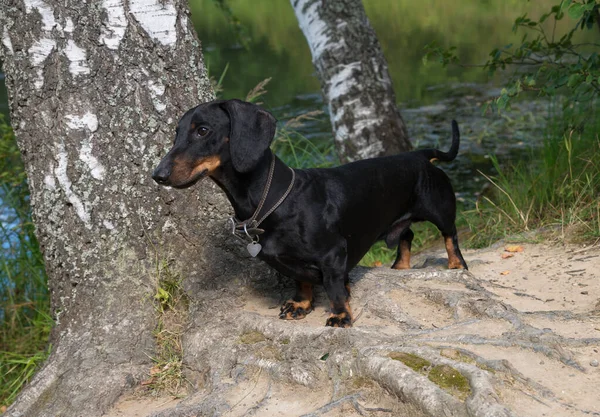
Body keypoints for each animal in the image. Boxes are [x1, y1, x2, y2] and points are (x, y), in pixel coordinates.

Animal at [151, 99, 468, 326]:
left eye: (202, 130)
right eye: (177, 133)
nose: (158, 175)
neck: (275, 199)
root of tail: (418, 155)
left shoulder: (333, 254)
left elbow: (335, 287)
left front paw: (340, 315)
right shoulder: (291, 263)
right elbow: (301, 282)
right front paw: (301, 305)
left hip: (439, 209)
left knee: (450, 235)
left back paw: (455, 265)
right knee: (407, 235)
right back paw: (400, 267)